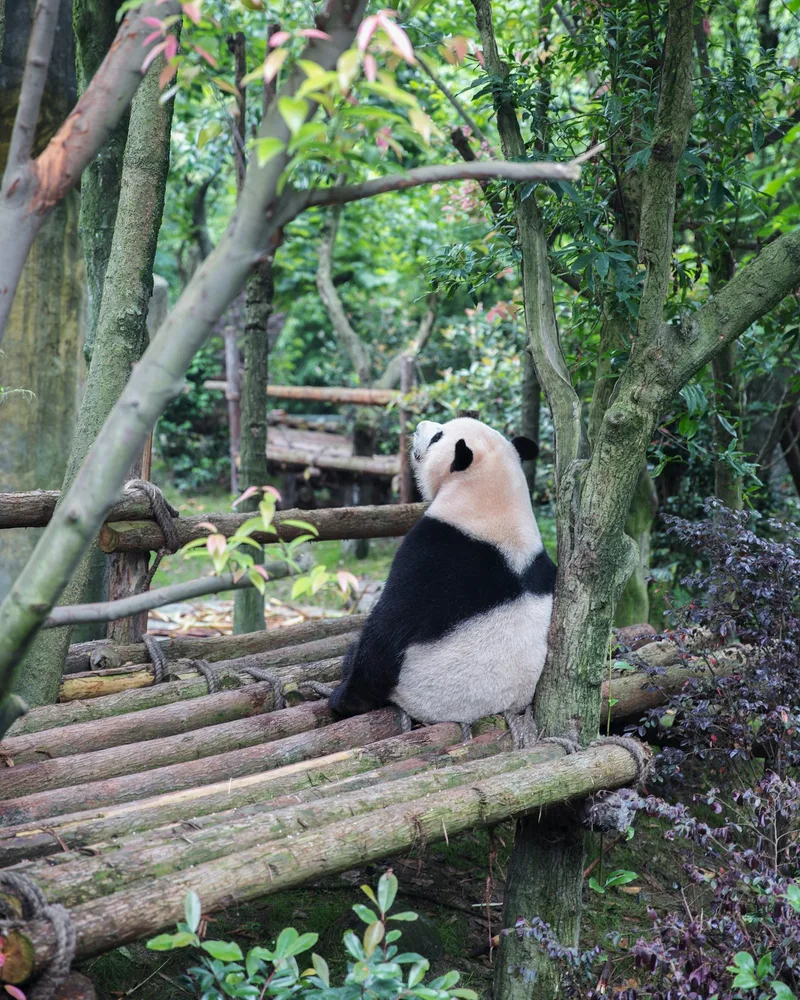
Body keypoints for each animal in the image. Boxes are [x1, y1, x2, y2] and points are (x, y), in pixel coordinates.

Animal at [328, 416, 556, 739]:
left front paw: (344, 699)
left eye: (438, 436)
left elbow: (387, 629)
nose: (419, 426)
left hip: (415, 686)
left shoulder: (430, 554)